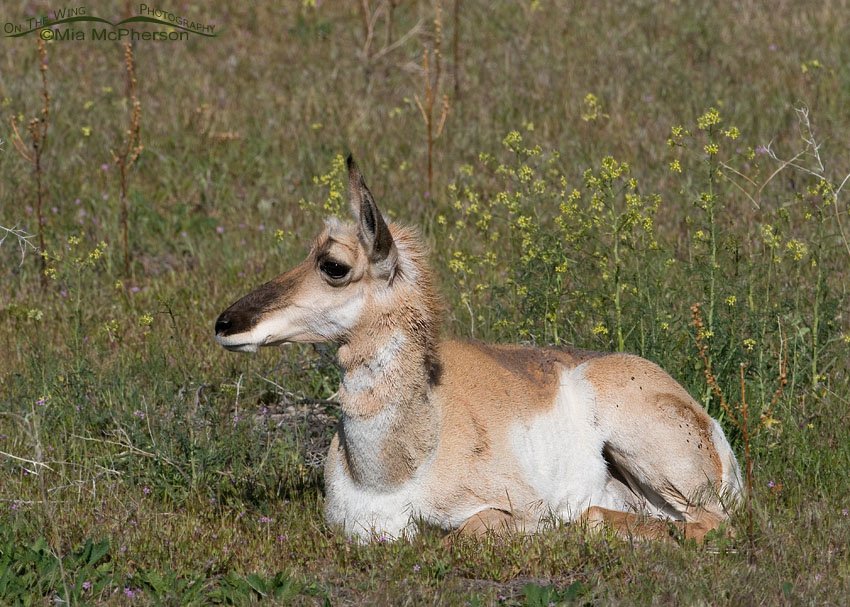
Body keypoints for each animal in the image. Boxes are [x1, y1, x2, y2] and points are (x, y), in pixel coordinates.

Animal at [214, 156, 743, 542]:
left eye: (333, 265)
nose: (225, 323)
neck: (400, 467)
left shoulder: (503, 510)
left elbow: (465, 531)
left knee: (705, 526)